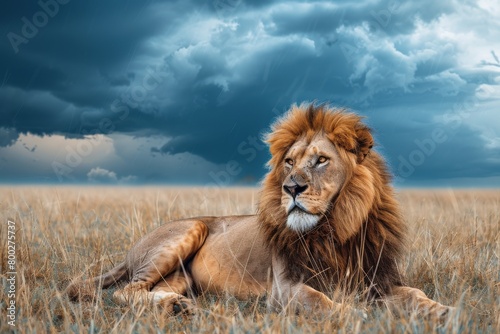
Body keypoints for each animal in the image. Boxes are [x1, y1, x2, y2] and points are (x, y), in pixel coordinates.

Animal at [65, 103, 454, 318]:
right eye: (289, 162)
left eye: (321, 161)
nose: (292, 188)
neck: (335, 228)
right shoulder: (285, 288)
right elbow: (318, 300)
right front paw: (353, 313)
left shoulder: (378, 279)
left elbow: (416, 295)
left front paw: (444, 311)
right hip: (187, 231)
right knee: (125, 291)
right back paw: (173, 308)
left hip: (181, 278)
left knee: (151, 290)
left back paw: (178, 305)